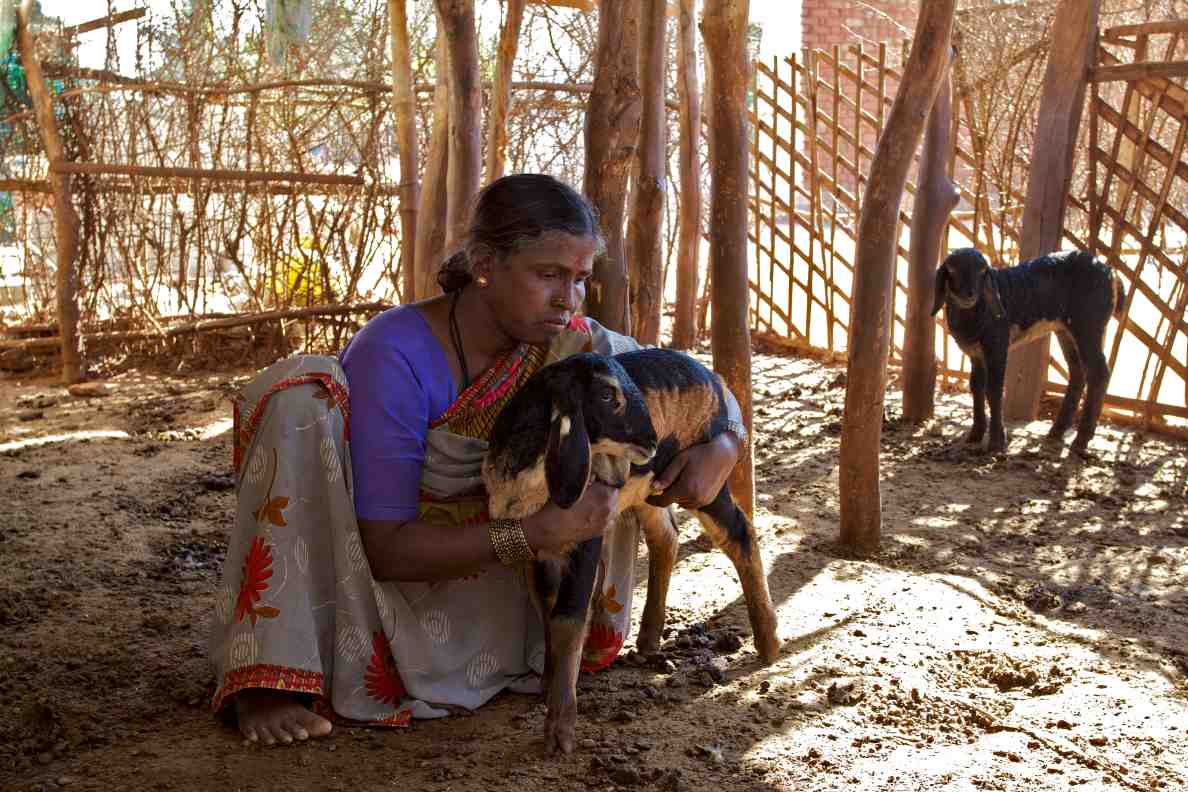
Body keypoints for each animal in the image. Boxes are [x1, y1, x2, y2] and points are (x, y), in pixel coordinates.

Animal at [482, 351, 779, 755]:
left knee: (740, 534)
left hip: (702, 481)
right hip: (651, 489)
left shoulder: (588, 533)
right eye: (608, 395)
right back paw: (650, 639)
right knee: (666, 536)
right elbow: (545, 608)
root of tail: (716, 381)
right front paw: (546, 686)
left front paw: (560, 728)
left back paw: (769, 643)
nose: (650, 441)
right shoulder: (533, 550)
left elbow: (568, 618)